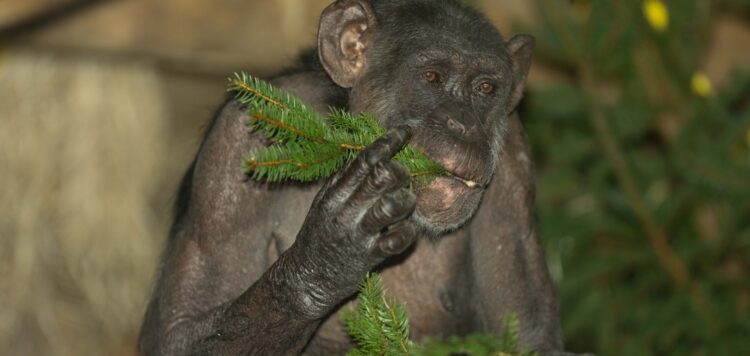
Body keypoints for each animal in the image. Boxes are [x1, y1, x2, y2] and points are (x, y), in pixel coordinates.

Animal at [140, 1, 568, 354]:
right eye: (432, 76)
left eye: (486, 88)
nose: (463, 125)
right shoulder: (233, 145)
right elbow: (179, 330)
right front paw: (330, 251)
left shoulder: (513, 167)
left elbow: (531, 337)